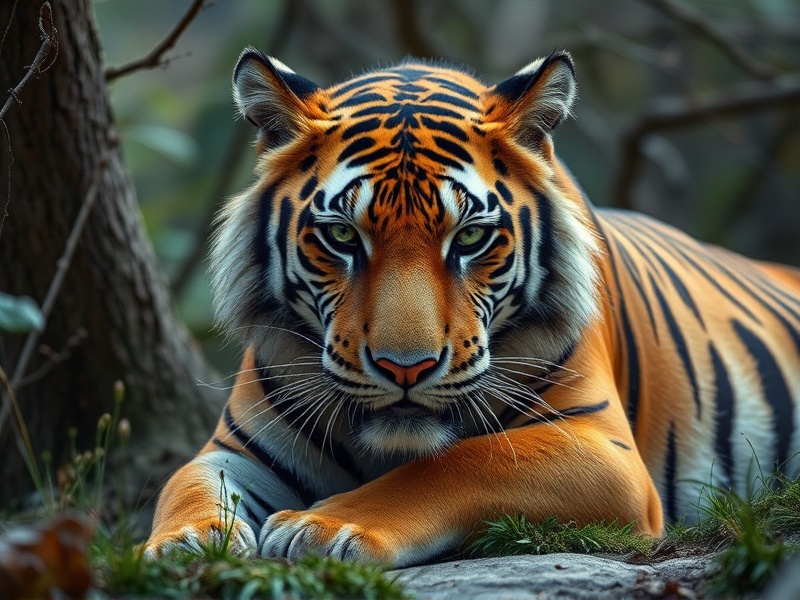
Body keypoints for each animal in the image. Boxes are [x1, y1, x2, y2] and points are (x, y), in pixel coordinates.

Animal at [145, 47, 800, 568]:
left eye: (470, 238)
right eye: (342, 236)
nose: (405, 368)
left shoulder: (602, 447)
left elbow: (459, 461)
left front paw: (322, 525)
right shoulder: (237, 448)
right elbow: (184, 483)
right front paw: (182, 543)